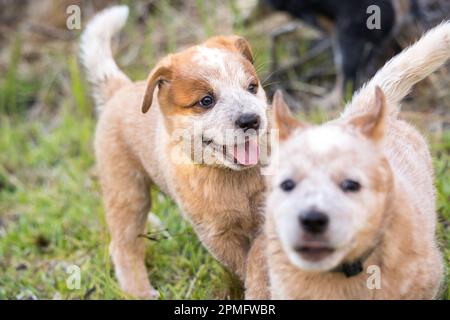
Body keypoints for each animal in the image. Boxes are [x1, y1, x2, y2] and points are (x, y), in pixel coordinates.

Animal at [80, 6, 270, 298]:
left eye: (252, 87)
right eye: (206, 100)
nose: (251, 120)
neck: (231, 180)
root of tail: (120, 90)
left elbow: (259, 260)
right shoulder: (216, 235)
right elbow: (245, 265)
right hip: (127, 192)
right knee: (124, 246)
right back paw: (140, 291)